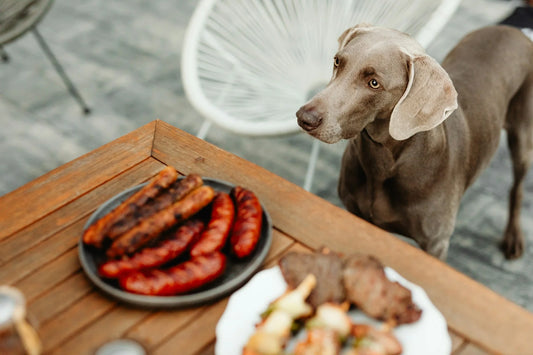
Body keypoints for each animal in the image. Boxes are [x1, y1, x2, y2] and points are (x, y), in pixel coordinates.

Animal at [296, 23, 532, 260]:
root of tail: (512, 29)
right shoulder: (354, 213)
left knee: (517, 186)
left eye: (374, 83)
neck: (383, 162)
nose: (305, 118)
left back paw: (513, 237)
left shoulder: (436, 244)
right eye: (337, 62)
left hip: (522, 139)